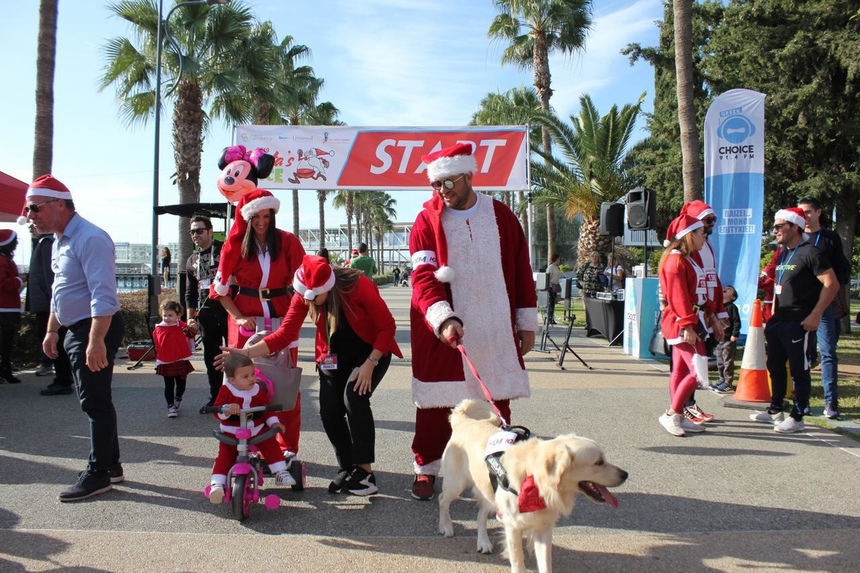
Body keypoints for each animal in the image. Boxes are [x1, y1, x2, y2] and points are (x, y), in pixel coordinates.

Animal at [440, 398, 628, 572]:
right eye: (599, 462)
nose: (625, 475)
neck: (535, 479)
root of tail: (464, 420)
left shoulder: (543, 527)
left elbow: (545, 563)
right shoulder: (513, 526)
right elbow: (518, 560)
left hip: (489, 491)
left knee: (481, 514)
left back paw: (483, 542)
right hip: (456, 483)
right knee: (442, 500)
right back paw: (446, 527)